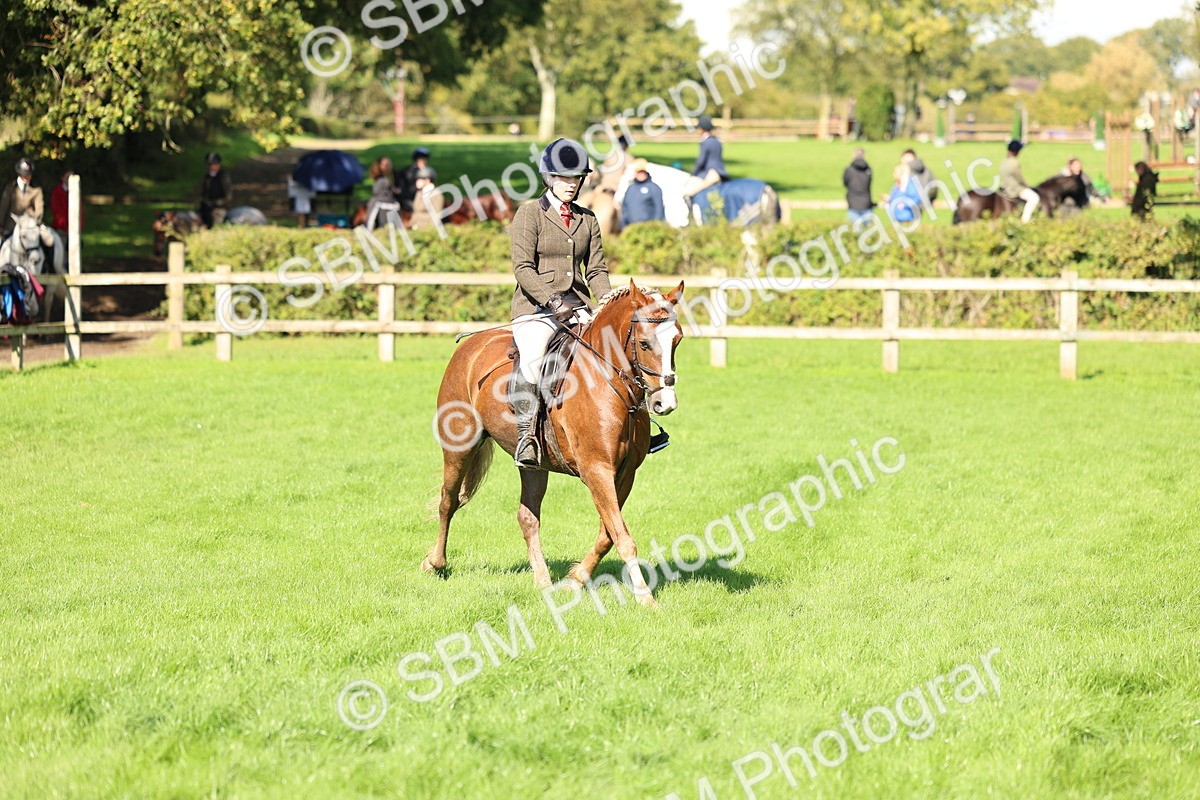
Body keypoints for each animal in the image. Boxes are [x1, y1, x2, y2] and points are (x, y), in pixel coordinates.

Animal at [428, 281, 685, 606]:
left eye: (677, 339)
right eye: (644, 344)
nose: (665, 403)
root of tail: (469, 346)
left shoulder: (625, 474)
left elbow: (608, 534)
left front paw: (573, 582)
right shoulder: (597, 470)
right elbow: (622, 536)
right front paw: (645, 597)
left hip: (534, 465)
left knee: (527, 516)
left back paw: (543, 582)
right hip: (459, 447)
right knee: (448, 501)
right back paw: (435, 562)